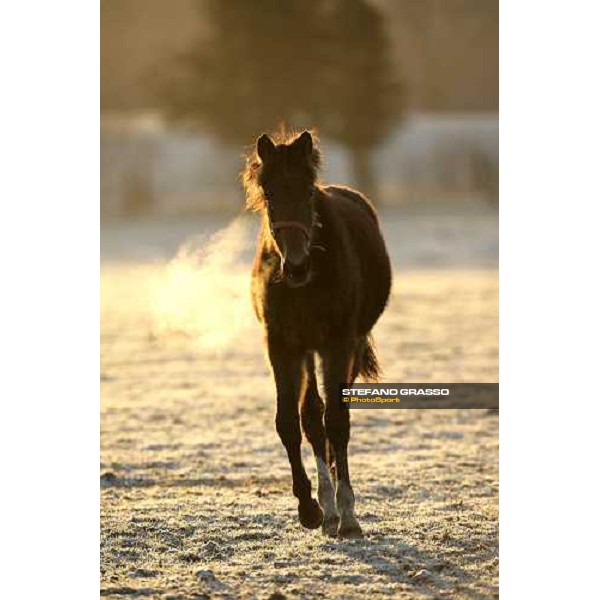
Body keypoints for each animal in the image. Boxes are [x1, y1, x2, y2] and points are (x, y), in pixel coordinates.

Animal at [241, 129, 392, 536]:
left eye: (309, 191)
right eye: (269, 193)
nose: (296, 266)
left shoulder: (337, 345)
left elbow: (337, 422)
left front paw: (349, 514)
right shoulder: (282, 346)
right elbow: (290, 423)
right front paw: (310, 508)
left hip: (348, 346)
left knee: (334, 417)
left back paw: (338, 508)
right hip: (307, 352)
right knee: (312, 417)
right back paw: (326, 508)